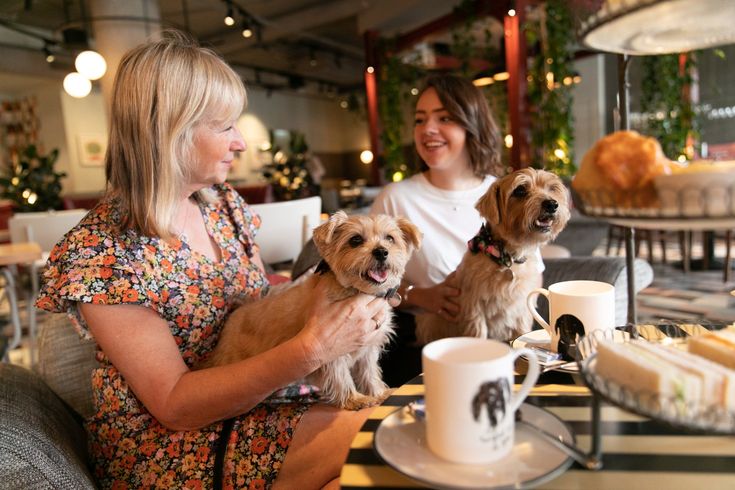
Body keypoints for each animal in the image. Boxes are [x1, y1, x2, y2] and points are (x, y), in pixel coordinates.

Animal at [204, 211, 422, 410]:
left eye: (390, 238)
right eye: (355, 240)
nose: (381, 251)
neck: (357, 291)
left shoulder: (368, 348)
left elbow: (369, 372)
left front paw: (377, 393)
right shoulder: (333, 351)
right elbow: (341, 376)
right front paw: (354, 400)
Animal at [416, 168, 572, 344]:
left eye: (552, 188)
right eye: (520, 190)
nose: (552, 204)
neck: (506, 257)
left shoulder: (522, 309)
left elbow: (521, 331)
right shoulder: (474, 306)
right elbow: (478, 332)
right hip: (428, 321)